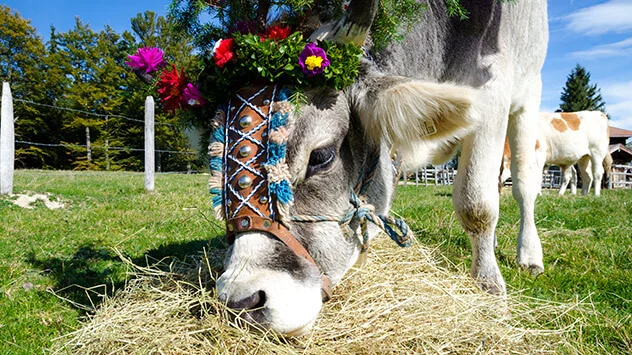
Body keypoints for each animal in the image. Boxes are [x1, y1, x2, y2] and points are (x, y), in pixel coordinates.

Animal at [215, 0, 552, 336]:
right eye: (219, 164)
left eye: (321, 156)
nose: (240, 301)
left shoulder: (493, 93)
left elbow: (476, 204)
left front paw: (489, 286)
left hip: (529, 95)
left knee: (523, 184)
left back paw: (529, 255)